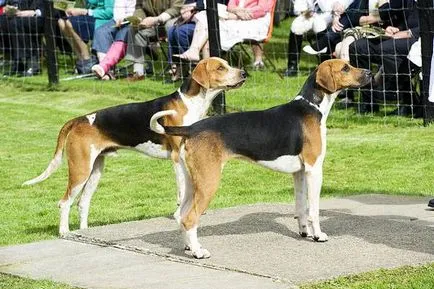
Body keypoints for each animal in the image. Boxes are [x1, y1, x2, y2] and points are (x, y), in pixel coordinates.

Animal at [23, 57, 246, 235]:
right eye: (220, 68)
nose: (244, 73)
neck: (191, 102)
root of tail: (80, 119)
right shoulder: (177, 159)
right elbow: (182, 192)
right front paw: (178, 214)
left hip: (95, 171)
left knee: (82, 203)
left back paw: (84, 232)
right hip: (80, 170)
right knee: (64, 202)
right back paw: (64, 232)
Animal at [151, 59, 372, 258]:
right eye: (345, 68)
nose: (369, 73)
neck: (311, 106)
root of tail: (191, 128)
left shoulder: (300, 173)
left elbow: (301, 207)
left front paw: (304, 232)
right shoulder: (314, 169)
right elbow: (314, 210)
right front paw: (318, 235)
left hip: (191, 182)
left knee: (180, 215)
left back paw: (189, 247)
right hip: (208, 182)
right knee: (190, 218)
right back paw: (198, 252)